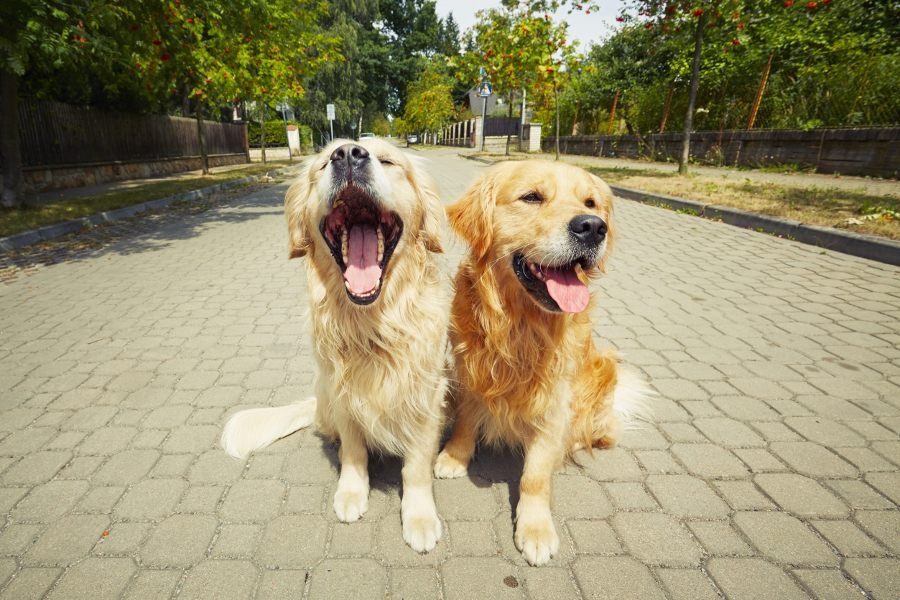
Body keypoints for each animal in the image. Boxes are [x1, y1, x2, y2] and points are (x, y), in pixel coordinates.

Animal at [434, 159, 648, 568]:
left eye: (591, 203)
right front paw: (454, 456)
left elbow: (534, 475)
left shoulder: (554, 400)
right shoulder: (469, 370)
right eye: (532, 197)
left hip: (602, 372)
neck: (521, 324)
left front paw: (535, 529)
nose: (593, 227)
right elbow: (466, 421)